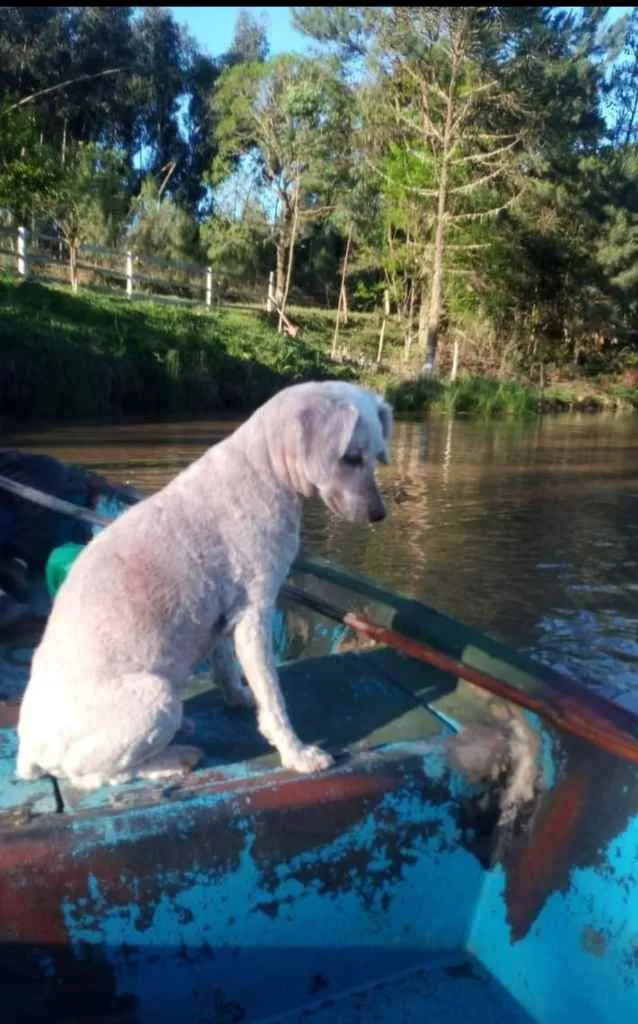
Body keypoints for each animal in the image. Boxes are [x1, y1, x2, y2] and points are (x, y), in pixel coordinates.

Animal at [16, 380, 395, 786]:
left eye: (377, 456)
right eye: (351, 458)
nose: (379, 515)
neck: (267, 470)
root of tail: (29, 751)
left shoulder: (223, 615)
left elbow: (226, 667)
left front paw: (240, 698)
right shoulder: (255, 614)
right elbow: (274, 698)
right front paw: (297, 754)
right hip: (156, 697)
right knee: (101, 775)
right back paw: (175, 757)